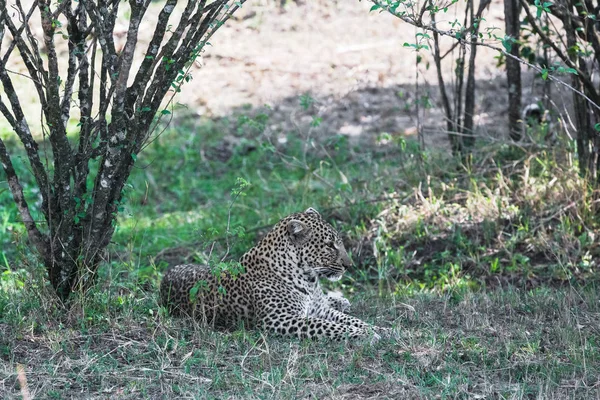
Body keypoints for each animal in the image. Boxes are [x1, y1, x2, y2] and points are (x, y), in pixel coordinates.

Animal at [159, 208, 394, 342]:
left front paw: (382, 329)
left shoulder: (319, 310)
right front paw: (367, 335)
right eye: (329, 245)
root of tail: (166, 275)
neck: (309, 280)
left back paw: (340, 300)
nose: (349, 265)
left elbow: (351, 320)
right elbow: (330, 326)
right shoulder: (279, 319)